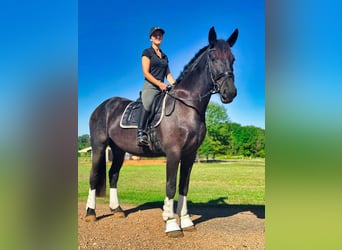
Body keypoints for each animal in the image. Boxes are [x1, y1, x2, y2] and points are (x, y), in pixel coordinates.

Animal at [85, 26, 238, 237]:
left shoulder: (190, 154)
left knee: (113, 174)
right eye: (214, 58)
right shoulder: (173, 153)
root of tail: (103, 106)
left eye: (233, 59)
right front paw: (172, 224)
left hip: (118, 150)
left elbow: (184, 186)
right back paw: (90, 213)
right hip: (99, 146)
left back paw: (117, 210)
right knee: (93, 176)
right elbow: (171, 185)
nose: (229, 93)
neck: (186, 106)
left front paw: (186, 221)